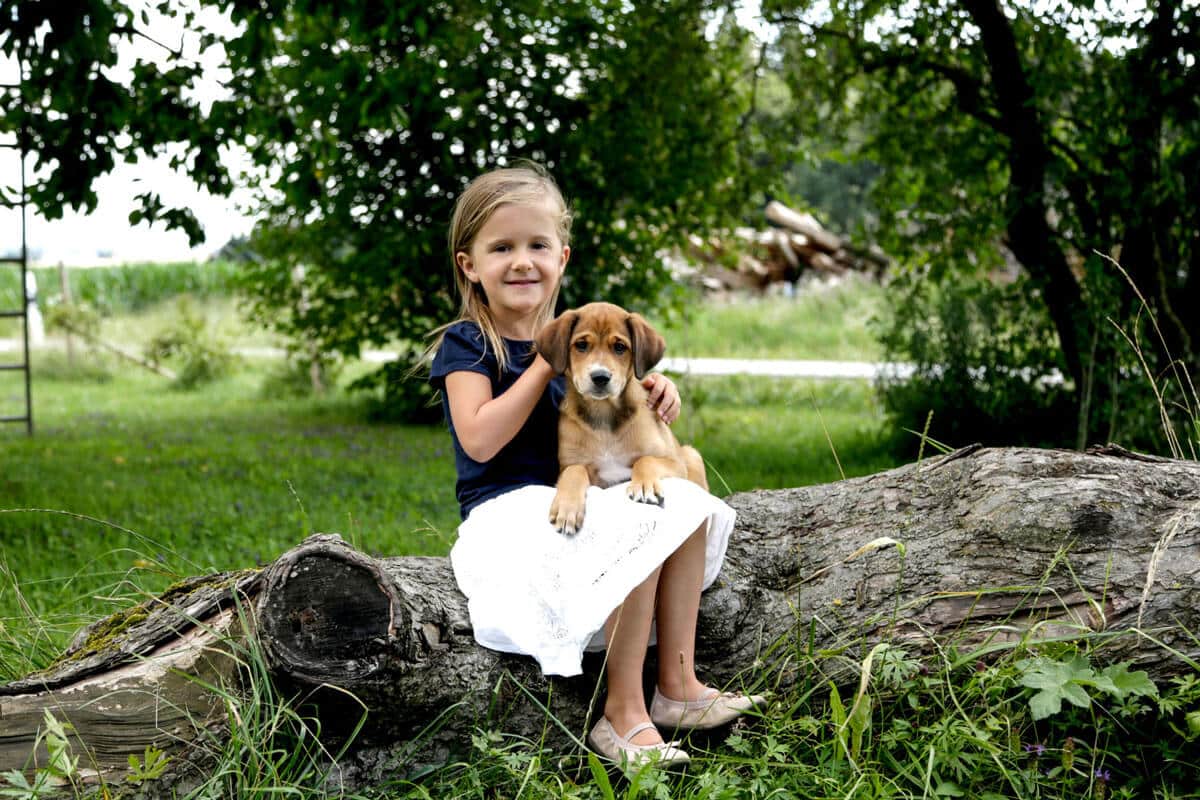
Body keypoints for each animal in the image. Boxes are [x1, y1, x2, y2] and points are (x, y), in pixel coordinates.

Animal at [532, 303, 700, 534]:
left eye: (620, 347)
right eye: (581, 345)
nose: (600, 377)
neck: (604, 414)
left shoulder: (675, 463)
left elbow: (646, 460)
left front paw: (645, 485)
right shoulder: (571, 466)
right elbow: (574, 471)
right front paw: (567, 508)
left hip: (692, 455)